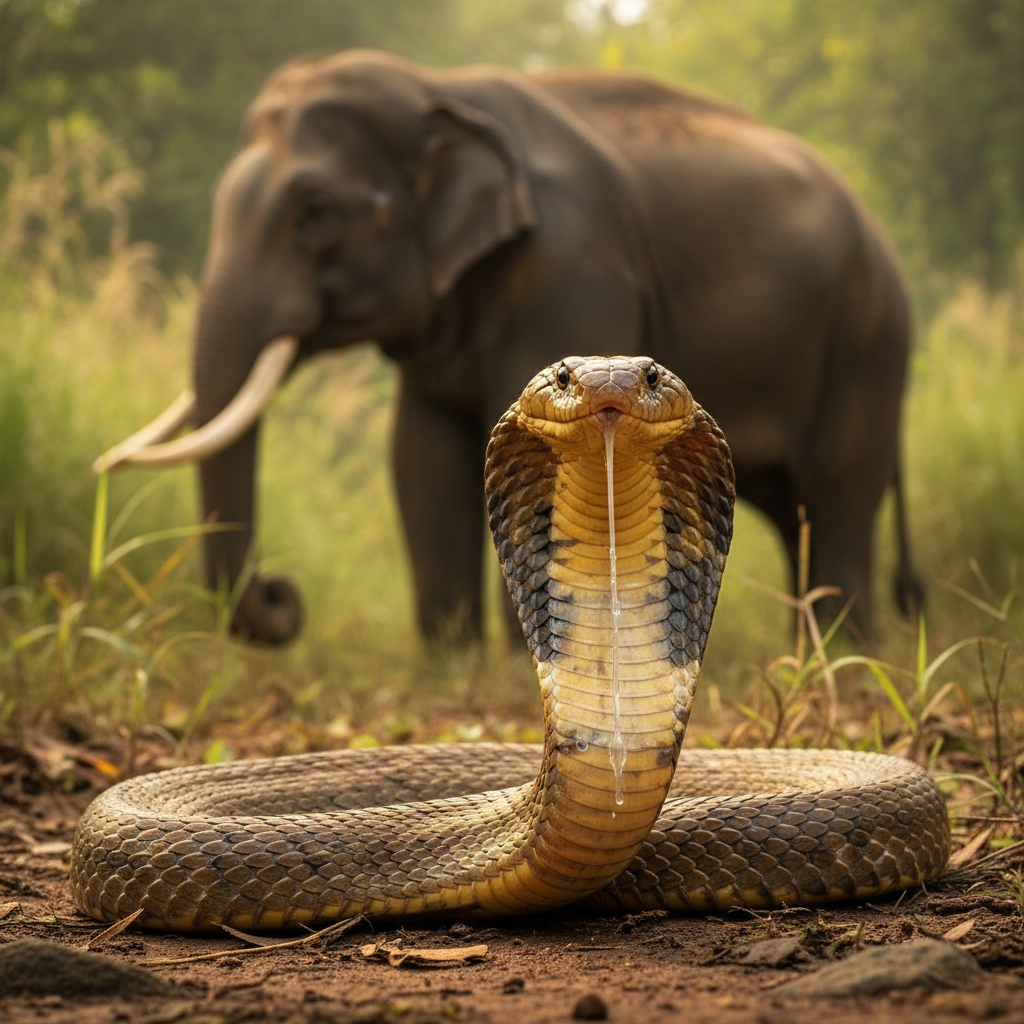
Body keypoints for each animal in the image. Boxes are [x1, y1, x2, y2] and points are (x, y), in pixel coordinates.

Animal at [97, 48, 921, 645]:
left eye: (315, 213)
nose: (280, 594)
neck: (436, 88)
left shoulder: (575, 269)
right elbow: (420, 463)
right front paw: (448, 663)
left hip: (867, 343)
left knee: (838, 495)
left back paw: (842, 652)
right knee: (797, 511)